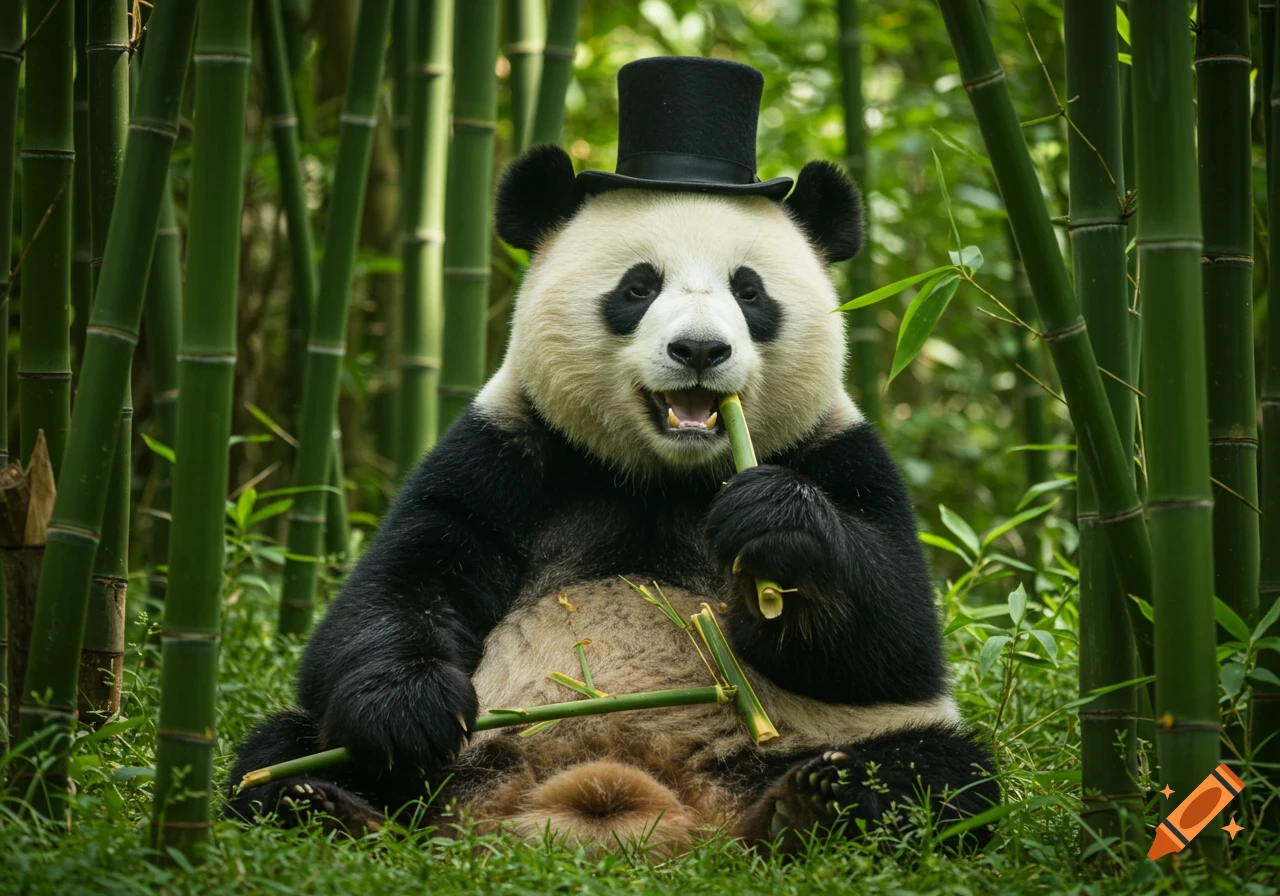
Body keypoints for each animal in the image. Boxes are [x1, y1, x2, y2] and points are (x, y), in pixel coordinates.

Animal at [229, 56, 999, 856]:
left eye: (749, 292)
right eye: (638, 286)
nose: (700, 350)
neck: (666, 476)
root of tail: (617, 793)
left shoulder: (838, 452)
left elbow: (894, 641)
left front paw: (775, 525)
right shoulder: (505, 452)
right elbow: (397, 587)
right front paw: (409, 713)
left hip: (808, 743)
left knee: (939, 772)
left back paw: (815, 804)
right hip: (470, 753)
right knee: (281, 746)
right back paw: (322, 802)